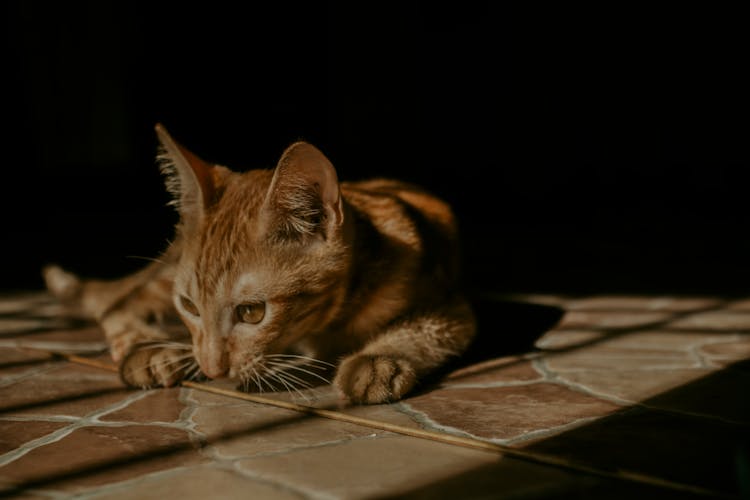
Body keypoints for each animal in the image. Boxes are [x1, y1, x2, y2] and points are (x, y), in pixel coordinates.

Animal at [44, 125, 476, 402]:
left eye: (252, 312)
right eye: (189, 307)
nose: (213, 370)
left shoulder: (452, 308)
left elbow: (424, 329)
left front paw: (377, 361)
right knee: (119, 304)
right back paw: (148, 348)